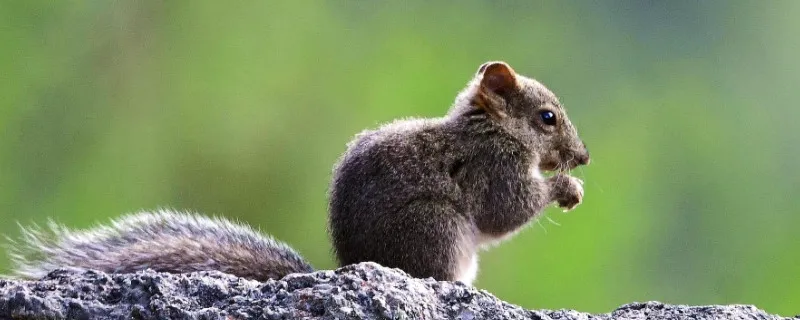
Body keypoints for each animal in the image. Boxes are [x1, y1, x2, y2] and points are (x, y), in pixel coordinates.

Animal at [4, 60, 588, 284]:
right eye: (547, 117)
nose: (583, 158)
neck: (492, 129)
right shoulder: (496, 169)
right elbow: (507, 210)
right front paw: (566, 186)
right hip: (437, 232)